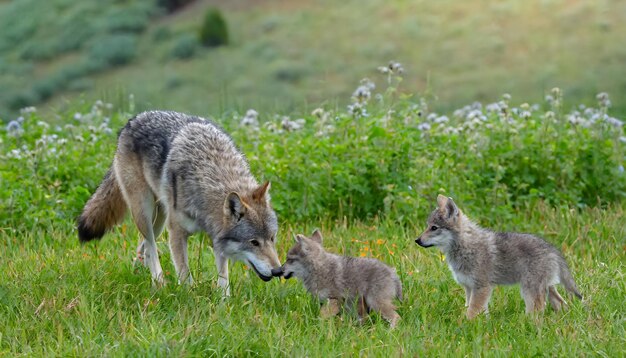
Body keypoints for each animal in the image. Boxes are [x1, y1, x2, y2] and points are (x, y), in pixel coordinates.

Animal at [78, 110, 280, 296]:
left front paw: (225, 302)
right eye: (254, 242)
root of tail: (133, 120)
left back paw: (139, 273)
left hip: (159, 219)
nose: (277, 270)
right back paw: (159, 283)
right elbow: (185, 274)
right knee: (150, 246)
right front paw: (190, 298)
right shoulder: (176, 232)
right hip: (145, 211)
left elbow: (223, 277)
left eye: (272, 238)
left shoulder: (216, 236)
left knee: (144, 246)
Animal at [414, 194, 580, 320]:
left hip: (530, 290)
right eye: (427, 226)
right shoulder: (469, 287)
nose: (417, 240)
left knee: (538, 310)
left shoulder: (482, 287)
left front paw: (465, 325)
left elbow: (472, 311)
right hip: (547, 288)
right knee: (562, 304)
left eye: (434, 228)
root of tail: (553, 249)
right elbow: (475, 309)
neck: (465, 246)